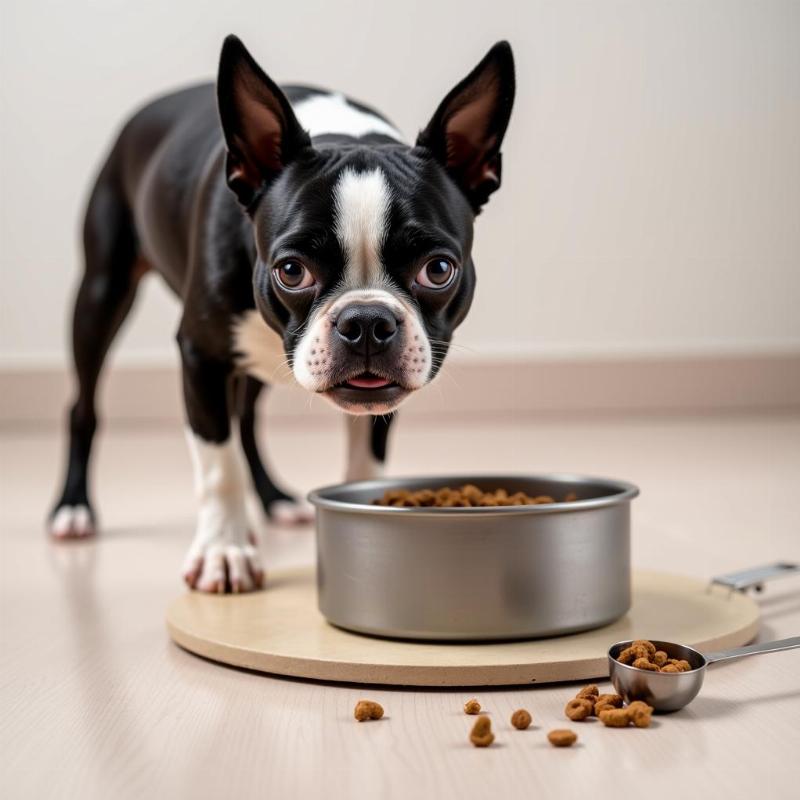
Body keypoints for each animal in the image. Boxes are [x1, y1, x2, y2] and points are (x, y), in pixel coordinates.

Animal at [50, 34, 516, 592]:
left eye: (438, 269)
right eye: (291, 271)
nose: (366, 322)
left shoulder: (387, 390)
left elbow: (365, 460)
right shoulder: (201, 356)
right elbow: (219, 465)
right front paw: (224, 552)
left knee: (247, 417)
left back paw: (273, 499)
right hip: (101, 293)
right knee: (84, 405)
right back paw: (73, 509)